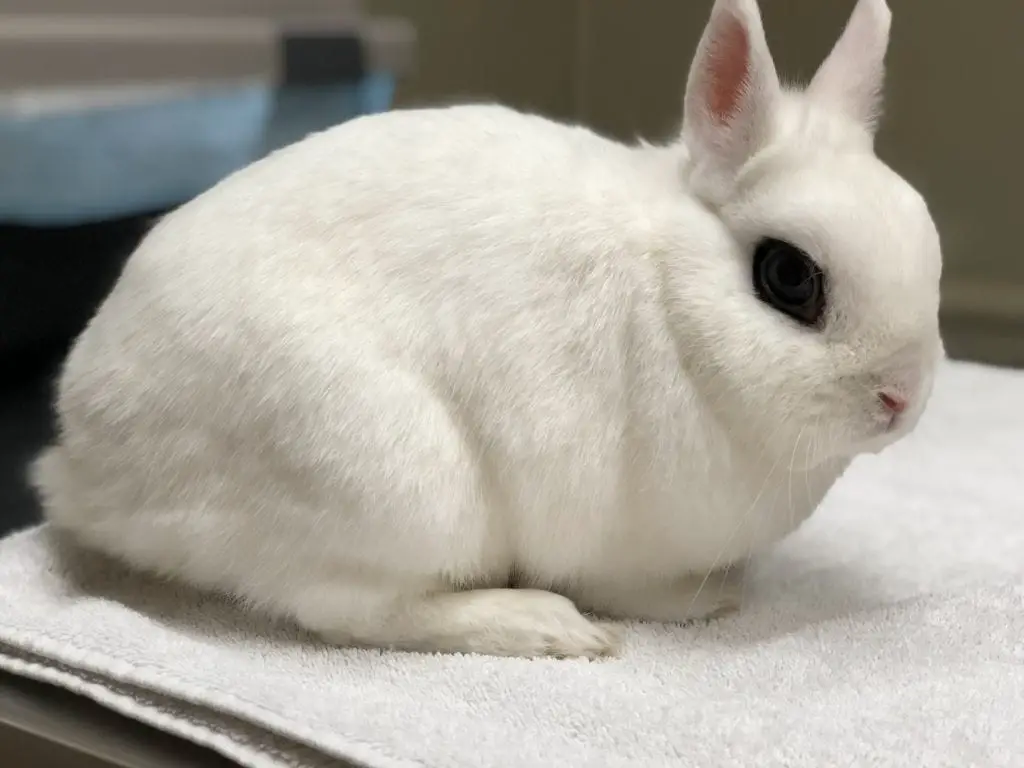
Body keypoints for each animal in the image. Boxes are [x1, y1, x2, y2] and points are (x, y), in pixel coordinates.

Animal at [34, 0, 942, 663]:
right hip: (392, 482)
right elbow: (638, 589)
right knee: (353, 613)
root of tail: (84, 464)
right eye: (788, 277)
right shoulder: (615, 546)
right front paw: (712, 601)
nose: (901, 400)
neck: (673, 301)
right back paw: (546, 627)